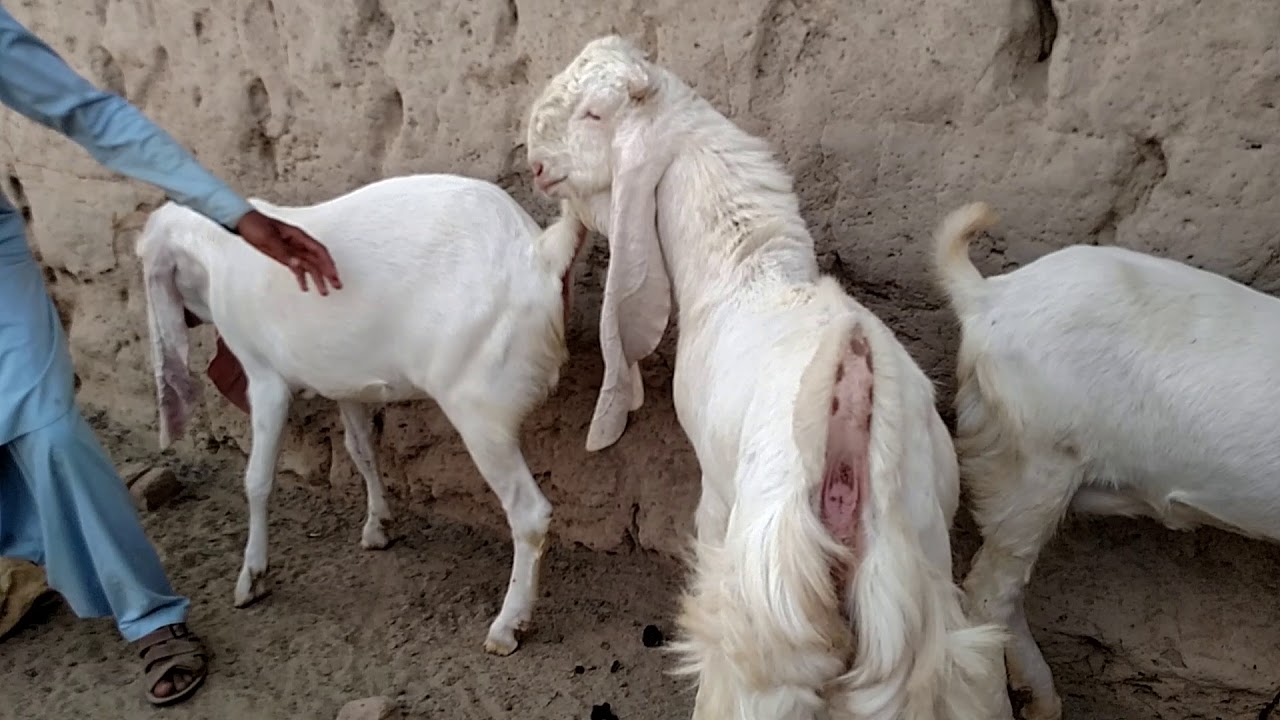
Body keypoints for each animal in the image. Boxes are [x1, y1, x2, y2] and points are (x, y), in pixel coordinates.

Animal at [135, 173, 588, 656]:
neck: (220, 252)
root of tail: (540, 252)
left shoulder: (266, 381)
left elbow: (257, 480)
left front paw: (252, 576)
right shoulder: (345, 381)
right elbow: (361, 450)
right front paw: (378, 524)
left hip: (479, 411)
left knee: (528, 512)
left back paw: (508, 624)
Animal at [525, 35, 1010, 720]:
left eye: (594, 114)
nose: (535, 164)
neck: (748, 276)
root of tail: (849, 405)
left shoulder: (715, 495)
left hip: (767, 612)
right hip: (918, 624)